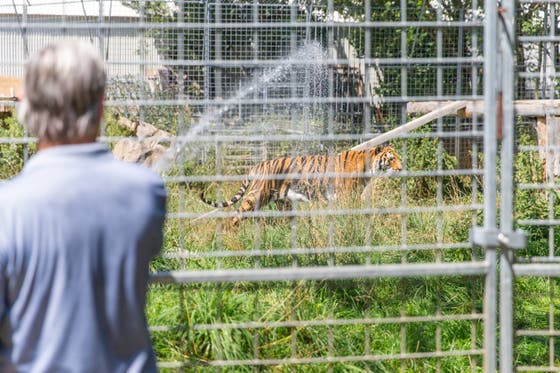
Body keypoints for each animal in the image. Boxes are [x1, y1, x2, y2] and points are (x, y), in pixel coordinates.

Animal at [199, 145, 400, 227]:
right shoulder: (345, 197)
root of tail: (257, 165)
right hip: (256, 196)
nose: (401, 169)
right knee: (236, 214)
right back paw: (230, 233)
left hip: (282, 201)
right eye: (391, 159)